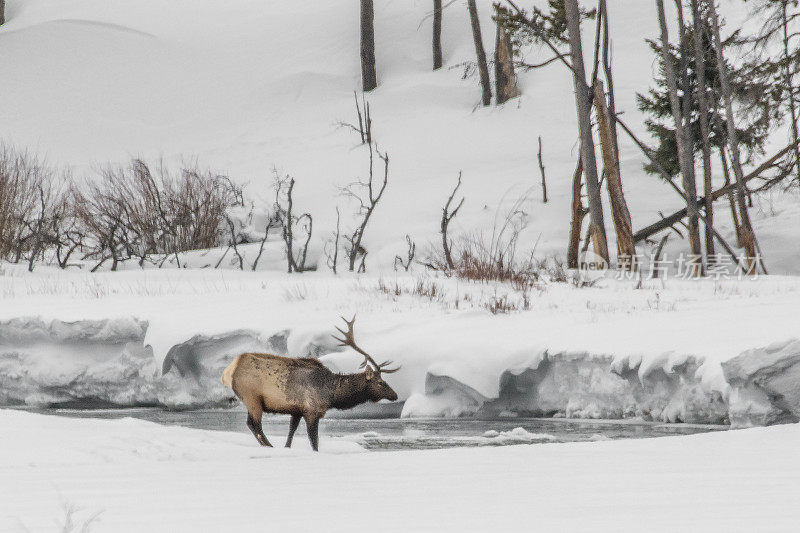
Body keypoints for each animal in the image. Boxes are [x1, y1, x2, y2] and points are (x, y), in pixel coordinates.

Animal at [220, 316, 398, 448]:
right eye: (380, 382)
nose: (395, 395)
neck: (332, 393)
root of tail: (228, 371)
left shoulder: (297, 410)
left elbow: (290, 434)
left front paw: (287, 447)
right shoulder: (312, 410)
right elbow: (314, 441)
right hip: (252, 397)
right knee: (254, 424)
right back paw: (268, 445)